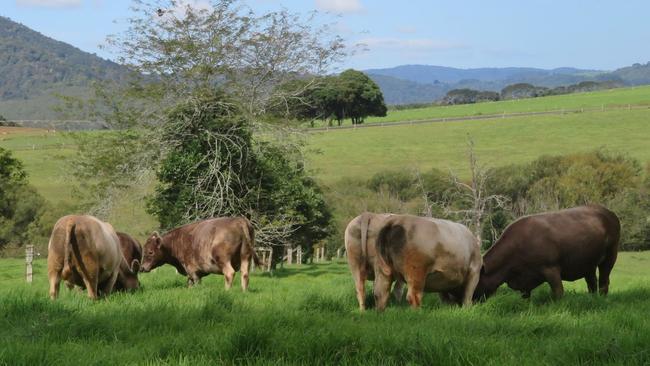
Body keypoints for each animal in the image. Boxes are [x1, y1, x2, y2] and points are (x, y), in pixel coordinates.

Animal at [470, 203, 616, 300]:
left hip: (610, 257)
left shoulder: (551, 268)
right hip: (588, 263)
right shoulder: (524, 280)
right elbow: (525, 296)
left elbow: (558, 292)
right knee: (592, 283)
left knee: (604, 281)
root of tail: (609, 212)